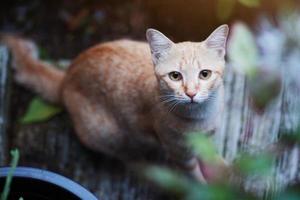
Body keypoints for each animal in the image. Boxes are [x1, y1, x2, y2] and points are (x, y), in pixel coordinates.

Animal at [2, 24, 229, 181]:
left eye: (204, 74)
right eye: (175, 76)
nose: (191, 93)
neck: (202, 116)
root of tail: (67, 77)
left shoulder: (209, 137)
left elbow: (212, 157)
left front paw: (223, 170)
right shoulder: (180, 154)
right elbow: (195, 177)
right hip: (108, 134)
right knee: (127, 158)